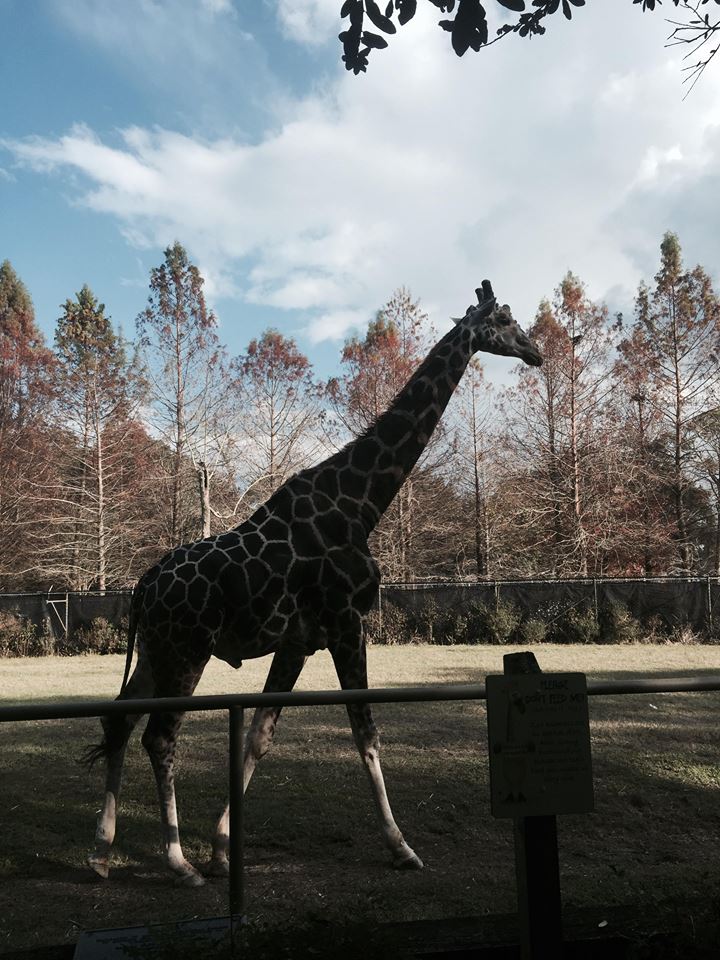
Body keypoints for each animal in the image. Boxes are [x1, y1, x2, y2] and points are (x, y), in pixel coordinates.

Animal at [85, 280, 542, 886]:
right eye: (507, 319)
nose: (537, 352)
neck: (361, 504)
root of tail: (143, 586)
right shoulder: (348, 625)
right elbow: (366, 732)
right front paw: (401, 847)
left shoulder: (299, 642)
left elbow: (259, 736)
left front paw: (223, 846)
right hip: (187, 651)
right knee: (159, 736)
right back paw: (177, 863)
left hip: (156, 652)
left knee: (119, 720)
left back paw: (103, 850)